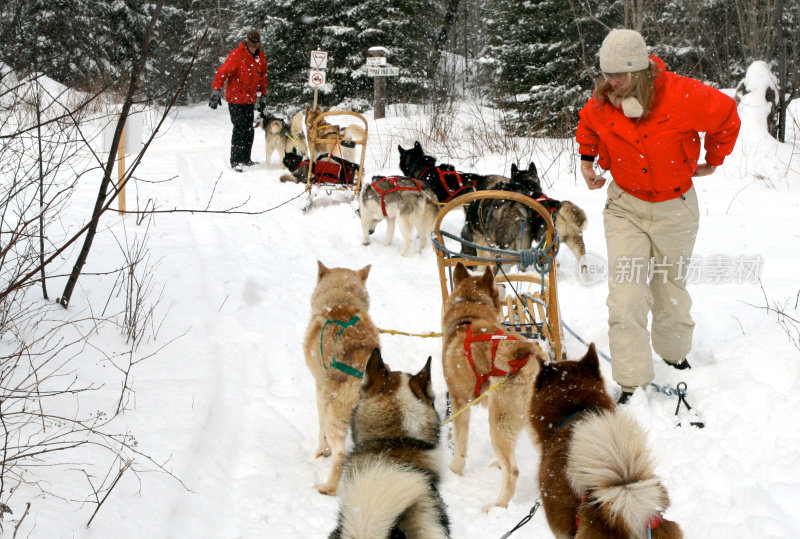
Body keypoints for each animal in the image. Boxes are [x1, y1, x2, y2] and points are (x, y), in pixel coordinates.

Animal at [304, 262, 382, 498]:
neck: (341, 301)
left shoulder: (319, 387)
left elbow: (320, 429)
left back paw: (328, 487)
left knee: (340, 454)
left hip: (336, 416)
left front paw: (322, 451)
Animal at [440, 264, 548, 512]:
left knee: (513, 470)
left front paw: (455, 469)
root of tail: (524, 353)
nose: (503, 284)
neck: (468, 317)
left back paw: (498, 505)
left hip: (498, 422)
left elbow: (460, 444)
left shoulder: (460, 402)